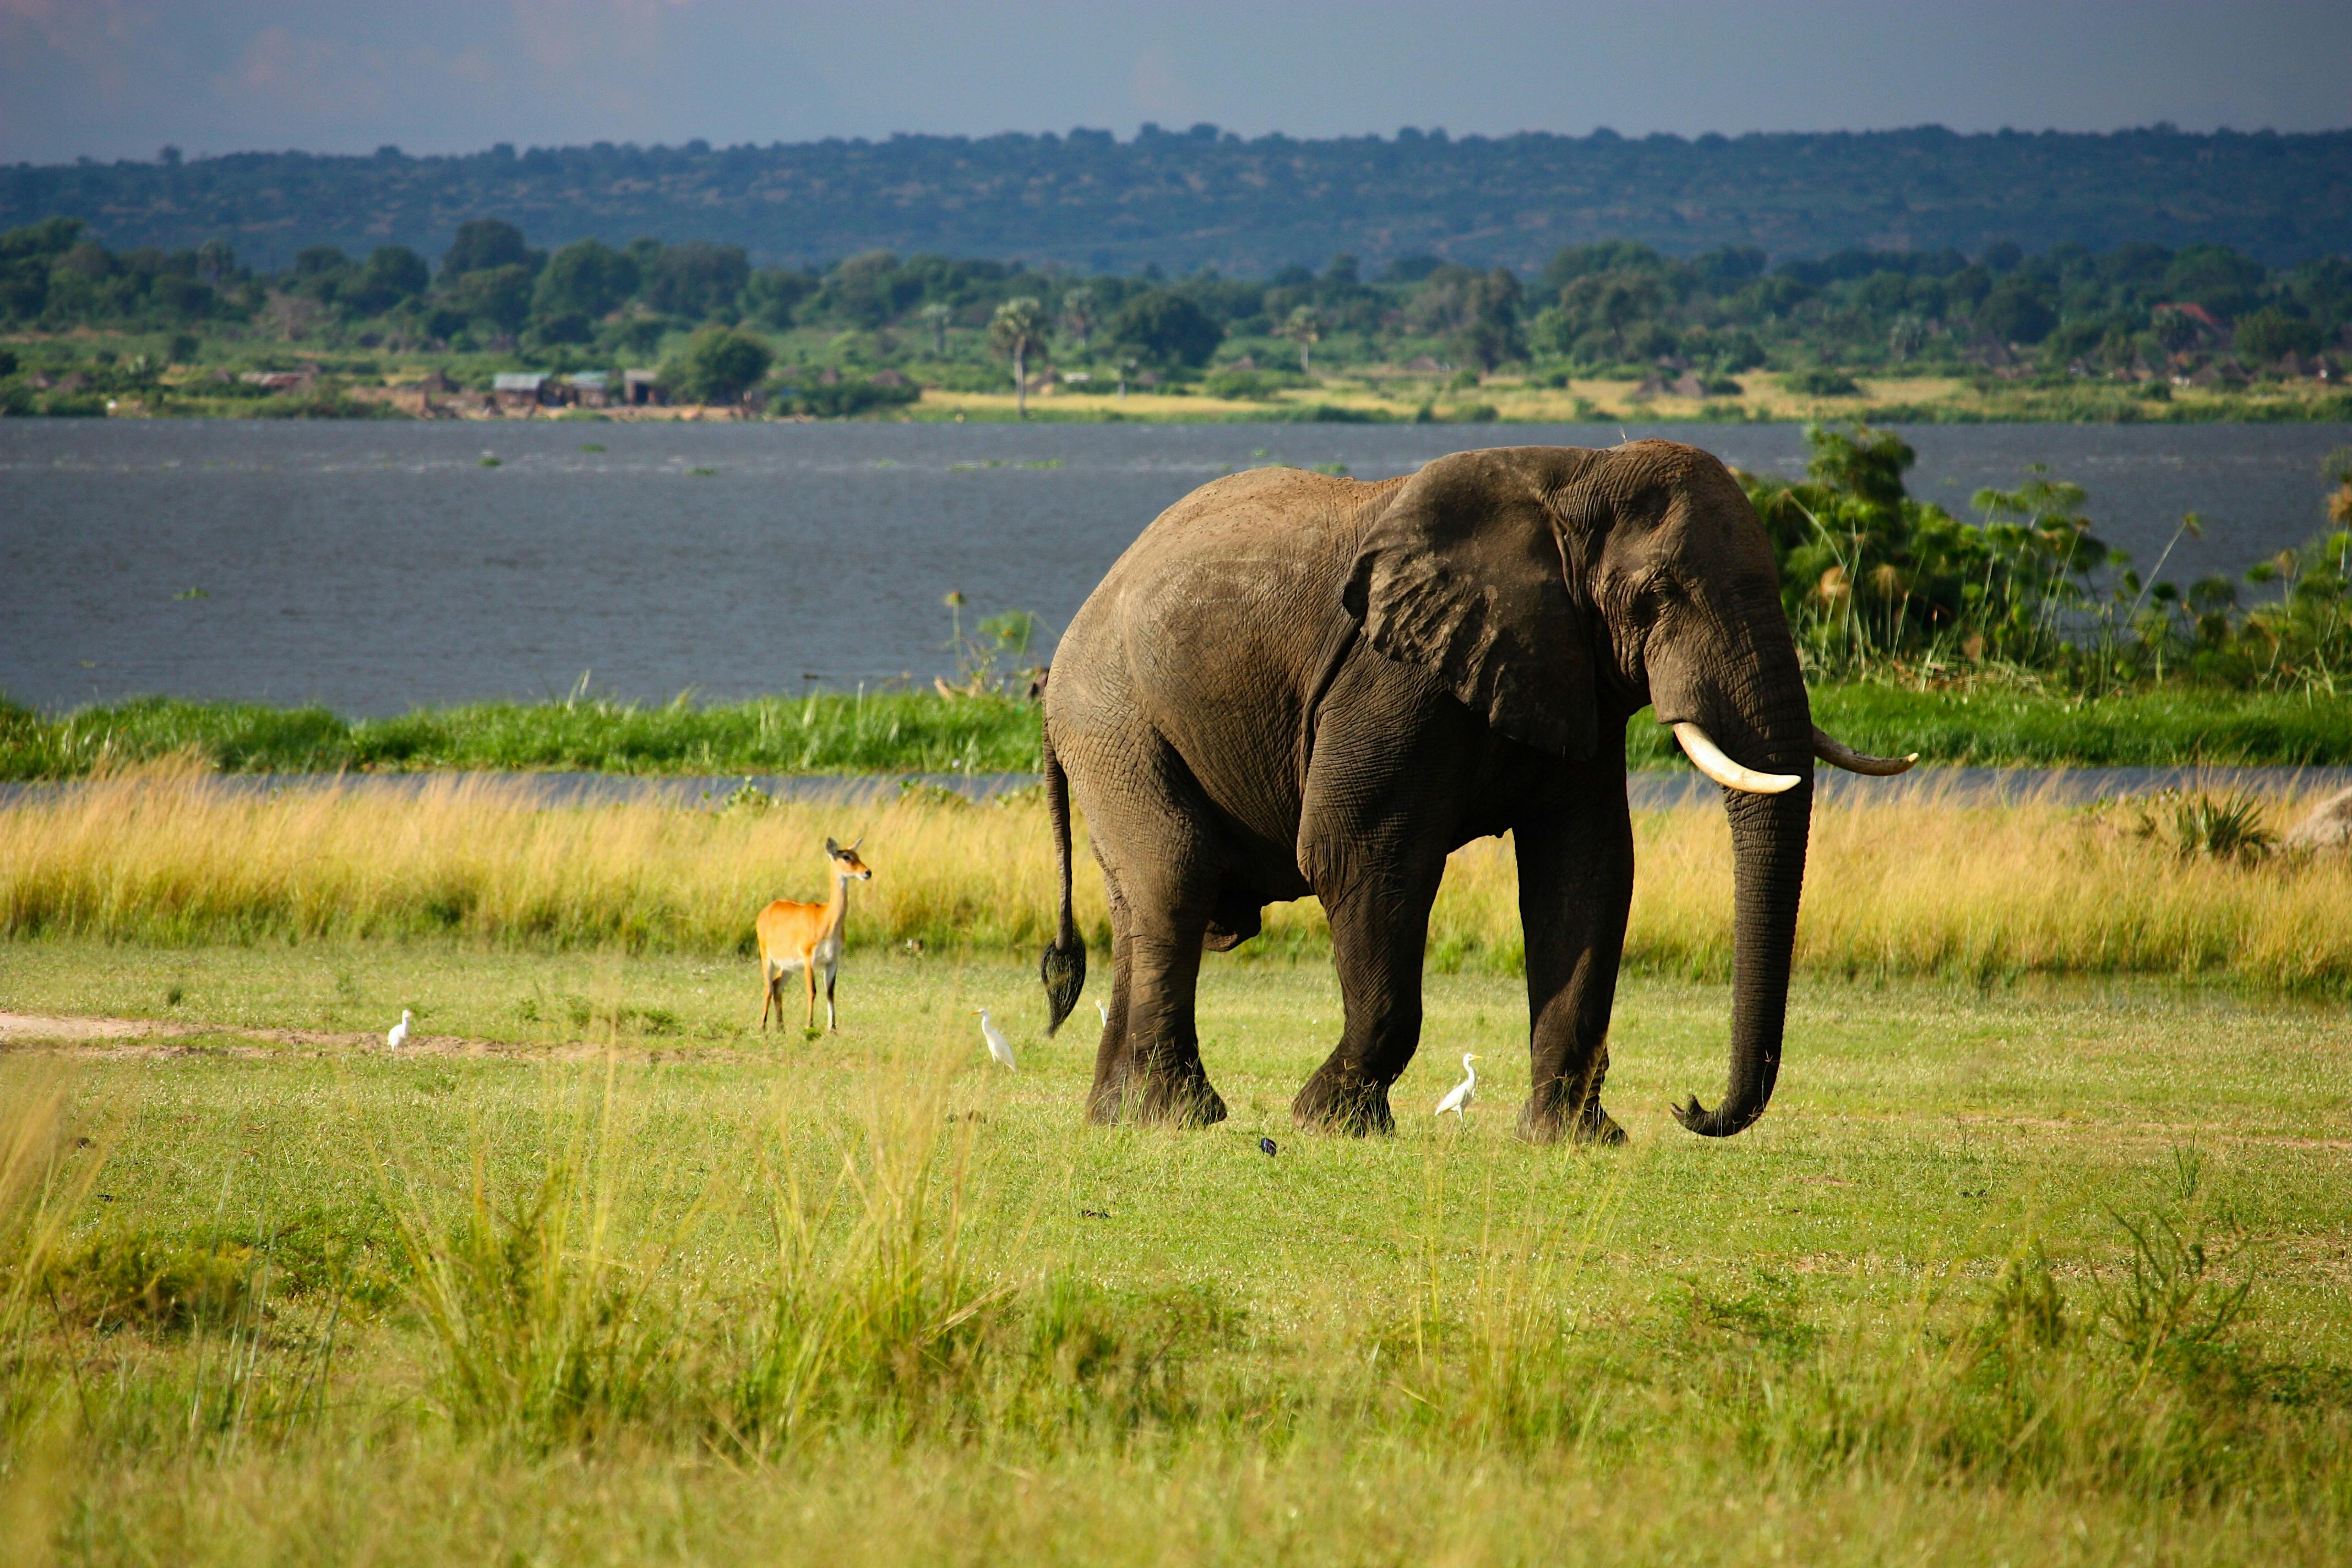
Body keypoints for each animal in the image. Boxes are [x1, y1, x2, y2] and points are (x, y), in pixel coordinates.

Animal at [753, 841, 875, 1034]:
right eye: (846, 857)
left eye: (857, 855)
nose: (867, 872)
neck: (826, 918)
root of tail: (768, 909)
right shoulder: (809, 959)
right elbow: (812, 990)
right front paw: (809, 1025)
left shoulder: (832, 961)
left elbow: (830, 992)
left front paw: (833, 1028)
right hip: (768, 958)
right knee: (768, 987)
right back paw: (763, 1027)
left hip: (788, 966)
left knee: (777, 985)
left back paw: (781, 1028)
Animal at [1039, 439, 1919, 1142]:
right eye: (1656, 596)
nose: (1692, 1107)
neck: (1576, 477)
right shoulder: (1389, 676)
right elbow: (1357, 854)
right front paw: (1331, 1121)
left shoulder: (1568, 669)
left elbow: (1587, 871)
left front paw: (1575, 1139)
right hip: (1114, 717)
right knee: (1175, 881)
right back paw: (1181, 1117)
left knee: (1138, 903)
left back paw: (1118, 1115)